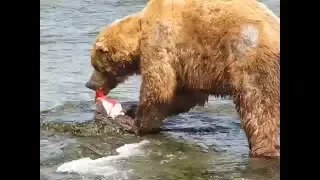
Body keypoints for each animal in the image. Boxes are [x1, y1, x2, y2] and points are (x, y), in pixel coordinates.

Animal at [85, 0, 280, 158]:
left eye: (96, 65)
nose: (89, 84)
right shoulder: (190, 66)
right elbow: (186, 95)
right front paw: (130, 109)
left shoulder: (160, 42)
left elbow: (159, 88)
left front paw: (133, 123)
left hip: (249, 60)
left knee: (257, 108)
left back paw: (263, 149)